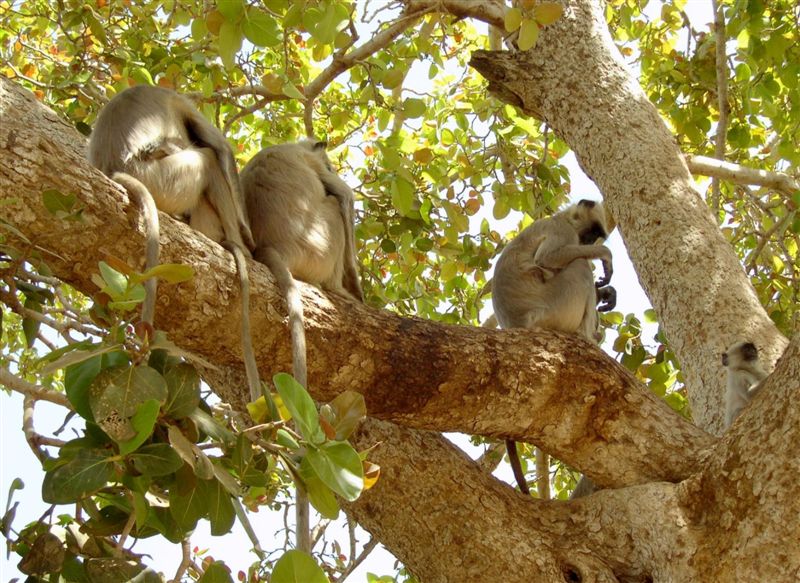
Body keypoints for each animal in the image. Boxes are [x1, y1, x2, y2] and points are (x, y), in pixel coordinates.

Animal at [87, 85, 261, 402]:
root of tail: (115, 168)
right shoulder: (178, 101)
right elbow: (220, 148)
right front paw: (247, 234)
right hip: (167, 180)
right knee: (207, 159)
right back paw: (238, 244)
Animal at [239, 140, 363, 552]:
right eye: (329, 161)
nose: (332, 164)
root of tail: (276, 248)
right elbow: (343, 196)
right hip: (320, 244)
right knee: (333, 205)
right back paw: (341, 290)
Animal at [491, 199, 613, 498]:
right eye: (589, 236)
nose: (589, 243)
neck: (562, 218)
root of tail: (520, 324)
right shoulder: (560, 229)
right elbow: (548, 260)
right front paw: (605, 256)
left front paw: (608, 292)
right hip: (557, 307)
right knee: (579, 265)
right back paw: (588, 337)